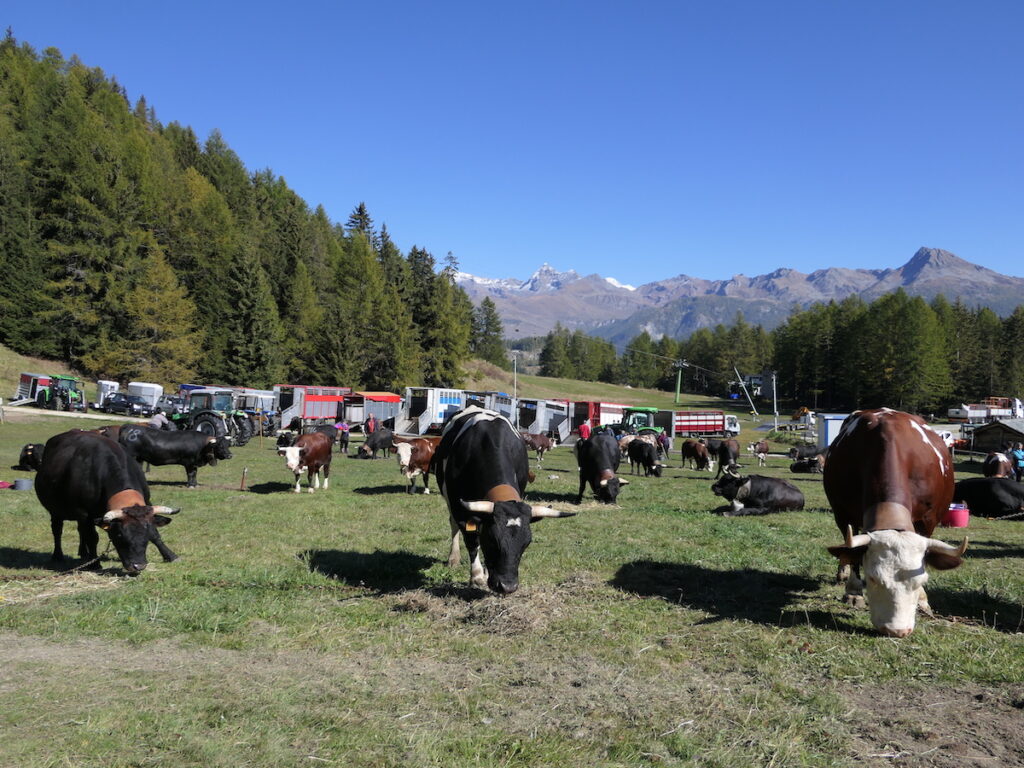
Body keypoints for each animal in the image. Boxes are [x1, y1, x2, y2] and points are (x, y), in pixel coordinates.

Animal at [35, 430, 180, 573]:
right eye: (119, 535)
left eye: (146, 534)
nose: (137, 566)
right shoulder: (84, 514)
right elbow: (92, 537)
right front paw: (95, 564)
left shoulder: (147, 503)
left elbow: (156, 534)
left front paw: (170, 555)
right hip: (55, 510)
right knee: (57, 530)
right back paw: (58, 555)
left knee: (80, 531)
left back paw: (83, 553)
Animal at [430, 409, 577, 593]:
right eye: (492, 539)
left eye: (526, 543)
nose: (507, 586)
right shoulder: (459, 506)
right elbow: (471, 541)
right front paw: (477, 576)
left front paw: (485, 572)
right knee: (453, 525)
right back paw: (454, 558)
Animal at [823, 411, 966, 638]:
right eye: (872, 578)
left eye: (922, 581)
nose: (896, 630)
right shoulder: (842, 513)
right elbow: (852, 553)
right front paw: (854, 591)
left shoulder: (928, 520)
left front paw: (923, 600)